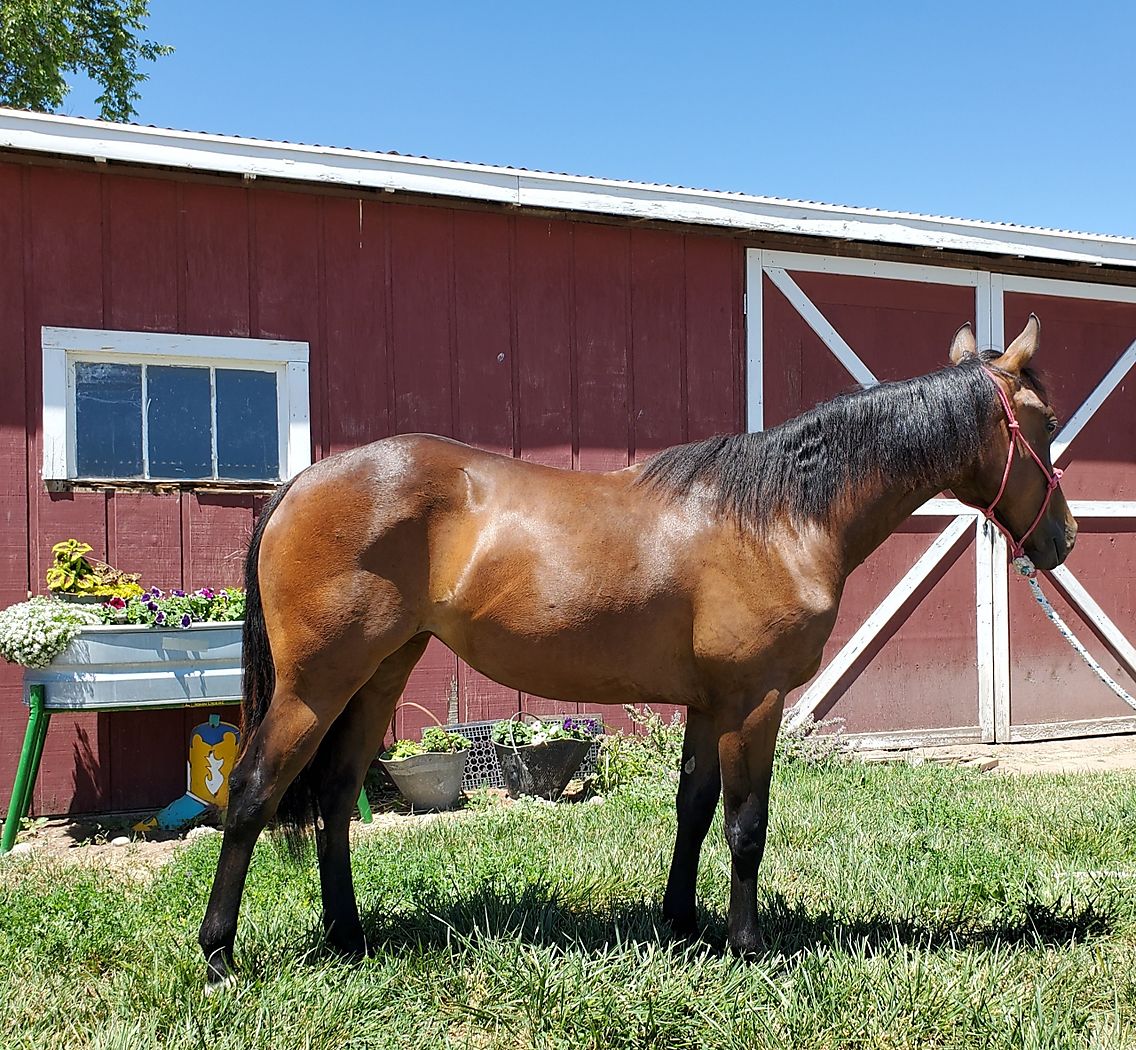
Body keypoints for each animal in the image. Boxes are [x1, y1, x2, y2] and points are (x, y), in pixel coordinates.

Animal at [198, 314, 1076, 986]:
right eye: (1045, 423)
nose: (1063, 540)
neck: (780, 517)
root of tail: (303, 482)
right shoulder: (754, 699)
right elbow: (746, 823)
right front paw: (748, 945)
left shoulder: (709, 703)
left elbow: (693, 809)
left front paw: (681, 923)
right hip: (316, 684)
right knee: (252, 792)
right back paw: (218, 957)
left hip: (379, 674)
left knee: (336, 798)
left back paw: (349, 938)